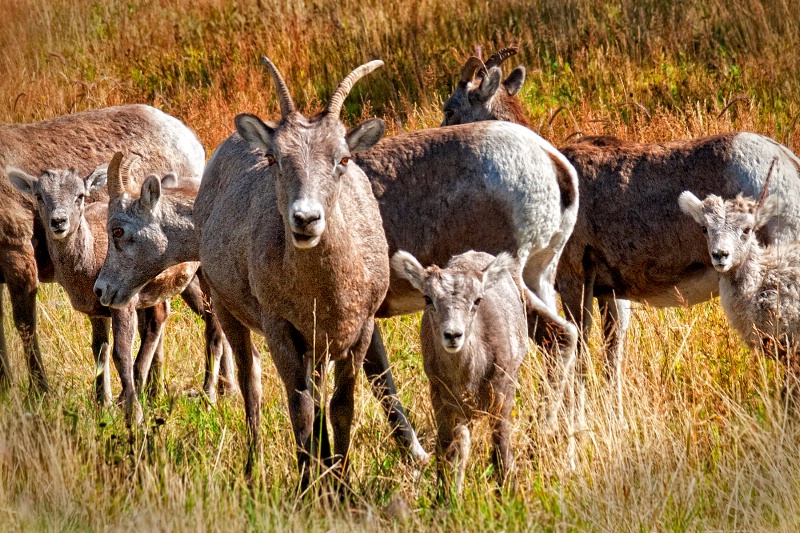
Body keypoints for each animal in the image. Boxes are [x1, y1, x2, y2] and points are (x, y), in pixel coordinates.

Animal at [390, 249, 528, 494]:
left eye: (477, 300)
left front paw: (508, 495)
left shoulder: (502, 399)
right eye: (428, 298)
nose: (453, 335)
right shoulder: (443, 403)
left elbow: (502, 454)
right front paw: (446, 498)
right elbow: (448, 454)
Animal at [440, 43, 800, 426]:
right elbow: (613, 356)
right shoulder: (613, 293)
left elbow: (582, 348)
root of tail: (788, 163)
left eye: (450, 109)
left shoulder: (574, 282)